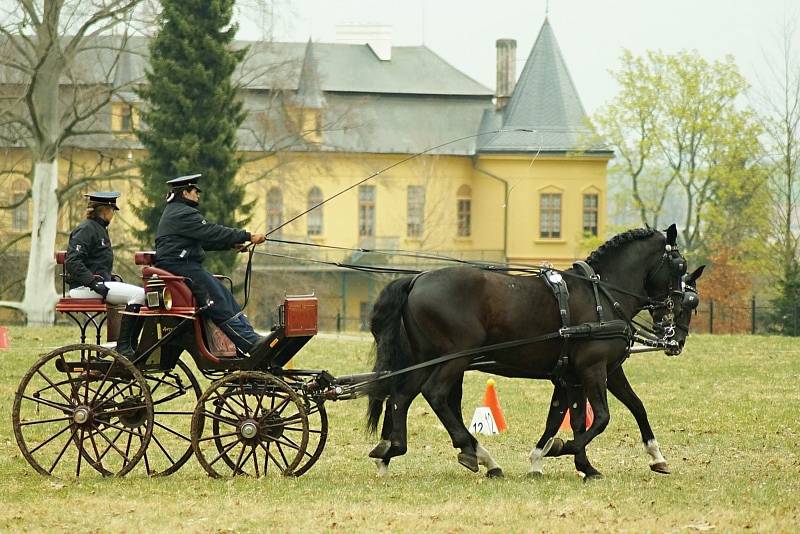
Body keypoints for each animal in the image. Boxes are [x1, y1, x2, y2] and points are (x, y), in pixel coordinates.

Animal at [532, 266, 708, 480]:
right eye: (689, 303)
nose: (678, 342)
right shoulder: (597, 370)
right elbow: (599, 417)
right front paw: (560, 449)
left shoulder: (573, 378)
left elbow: (635, 406)